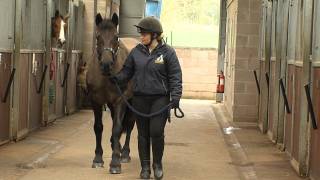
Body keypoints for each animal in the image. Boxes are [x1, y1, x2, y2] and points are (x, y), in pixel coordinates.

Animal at [82, 13, 135, 174]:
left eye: (116, 37)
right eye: (98, 36)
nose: (106, 64)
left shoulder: (120, 101)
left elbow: (117, 128)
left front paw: (115, 163)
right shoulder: (96, 101)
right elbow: (98, 127)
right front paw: (98, 159)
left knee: (129, 125)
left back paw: (124, 153)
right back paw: (115, 146)